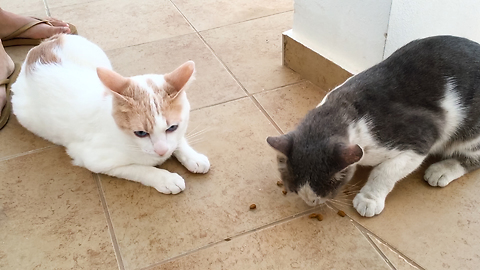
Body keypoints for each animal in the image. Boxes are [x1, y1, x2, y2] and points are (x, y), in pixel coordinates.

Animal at [11, 33, 209, 194]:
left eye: (172, 127)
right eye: (141, 133)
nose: (161, 151)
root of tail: (44, 43)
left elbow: (178, 141)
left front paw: (193, 157)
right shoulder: (95, 160)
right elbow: (140, 169)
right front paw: (165, 178)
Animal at [268, 35, 480, 217]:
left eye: (328, 185)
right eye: (294, 184)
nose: (310, 200)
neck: (343, 109)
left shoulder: (420, 136)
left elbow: (385, 171)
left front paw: (368, 199)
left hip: (471, 133)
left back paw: (441, 170)